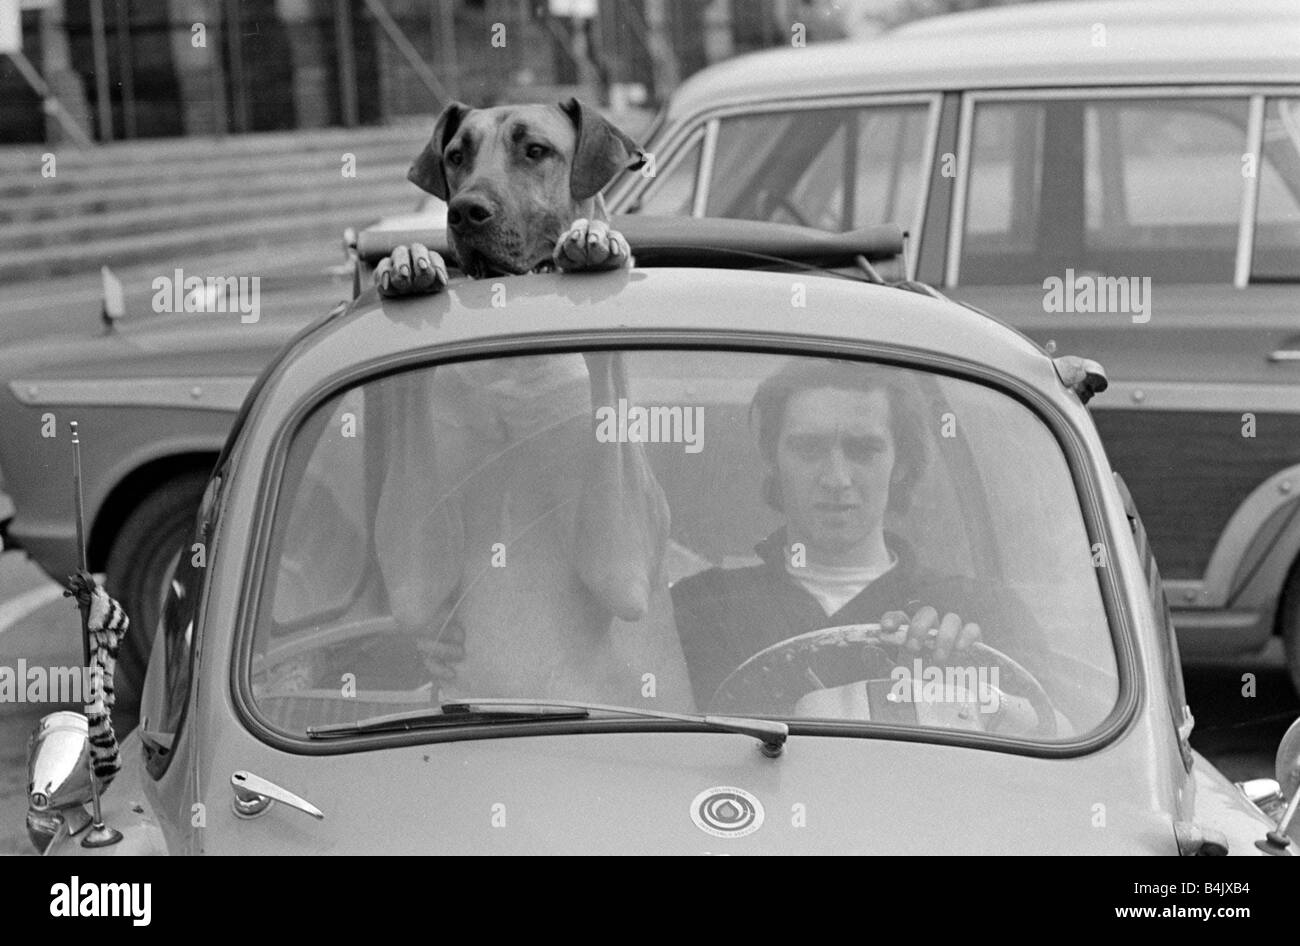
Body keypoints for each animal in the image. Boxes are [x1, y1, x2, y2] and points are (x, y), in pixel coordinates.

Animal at [371, 103, 696, 706]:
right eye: (457, 155)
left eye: (536, 151)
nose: (464, 210)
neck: (514, 376)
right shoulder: (416, 571)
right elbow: (417, 583)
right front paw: (407, 259)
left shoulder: (623, 557)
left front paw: (599, 241)